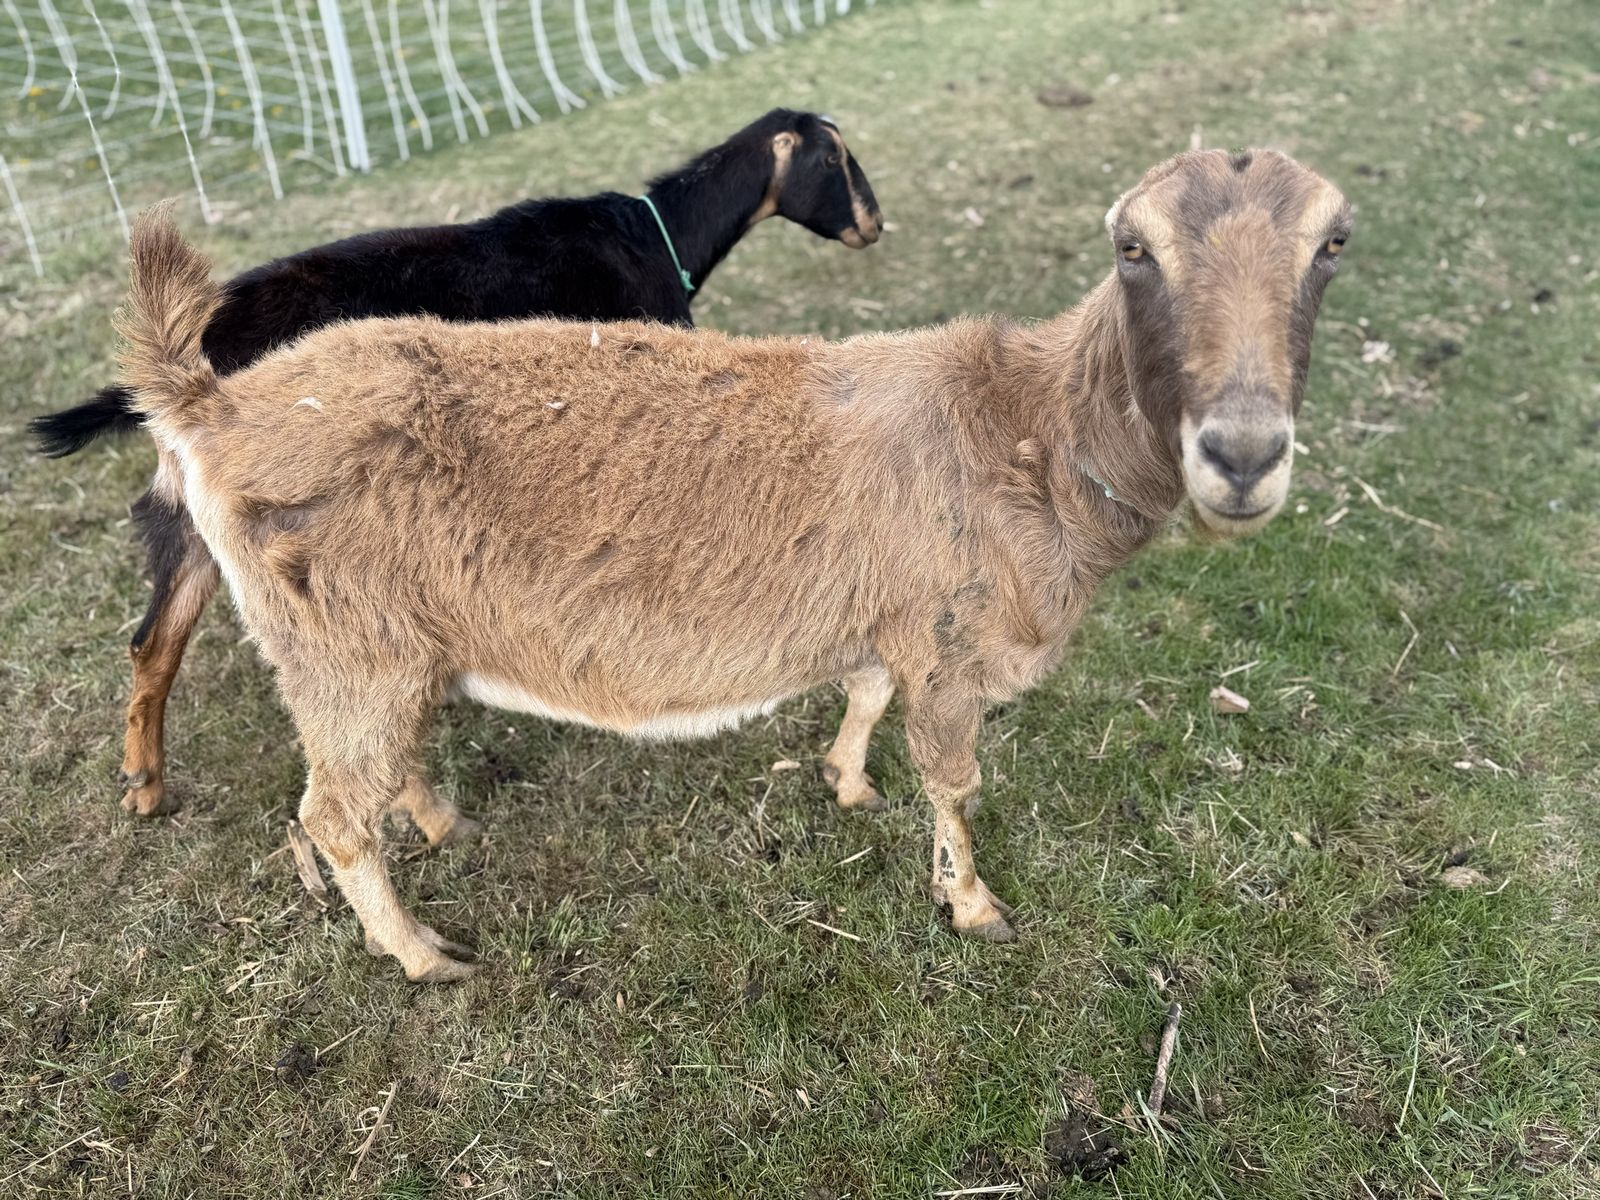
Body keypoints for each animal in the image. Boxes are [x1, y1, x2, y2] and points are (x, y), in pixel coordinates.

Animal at [32, 107, 882, 820]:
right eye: (833, 158)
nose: (875, 224)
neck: (656, 235)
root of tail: (177, 374)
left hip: (192, 519)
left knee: (152, 639)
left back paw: (145, 786)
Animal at [113, 149, 1350, 982]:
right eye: (1132, 247)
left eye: (1332, 244)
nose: (1242, 453)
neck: (1029, 431)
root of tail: (209, 404)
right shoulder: (950, 642)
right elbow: (953, 781)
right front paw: (973, 906)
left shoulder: (889, 613)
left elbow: (863, 693)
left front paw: (846, 780)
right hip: (341, 646)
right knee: (329, 814)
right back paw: (422, 953)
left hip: (382, 649)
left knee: (375, 767)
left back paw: (439, 823)